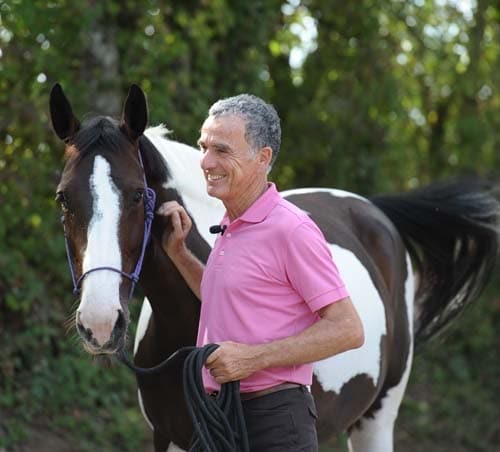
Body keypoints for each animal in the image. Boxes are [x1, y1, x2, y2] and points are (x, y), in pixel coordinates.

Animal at [49, 82, 500, 452]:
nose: (100, 323)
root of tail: (371, 209)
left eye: (138, 195)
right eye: (63, 198)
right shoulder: (168, 438)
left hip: (377, 417)